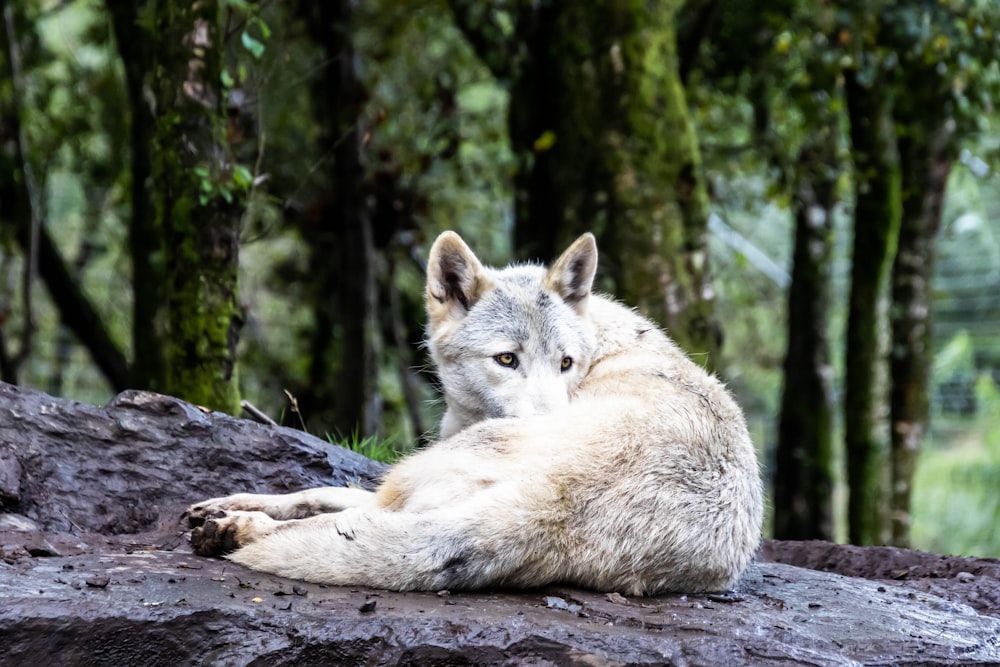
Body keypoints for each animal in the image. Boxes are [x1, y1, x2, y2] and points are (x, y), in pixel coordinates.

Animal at [186, 231, 764, 596]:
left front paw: (237, 515)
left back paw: (237, 531)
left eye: (566, 363)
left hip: (423, 476)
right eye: (506, 359)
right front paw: (226, 500)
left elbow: (333, 497)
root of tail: (551, 508)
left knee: (349, 519)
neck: (604, 343)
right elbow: (322, 491)